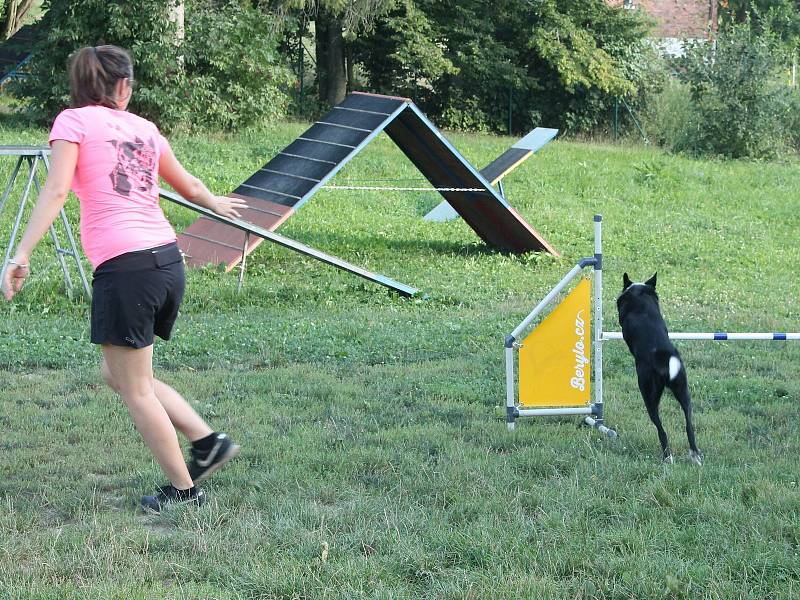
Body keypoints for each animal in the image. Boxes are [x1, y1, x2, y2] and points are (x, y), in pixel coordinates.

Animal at [620, 272, 700, 464]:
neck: (639, 290)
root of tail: (662, 356)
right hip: (683, 390)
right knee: (689, 425)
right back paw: (695, 455)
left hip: (648, 394)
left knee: (661, 429)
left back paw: (667, 457)